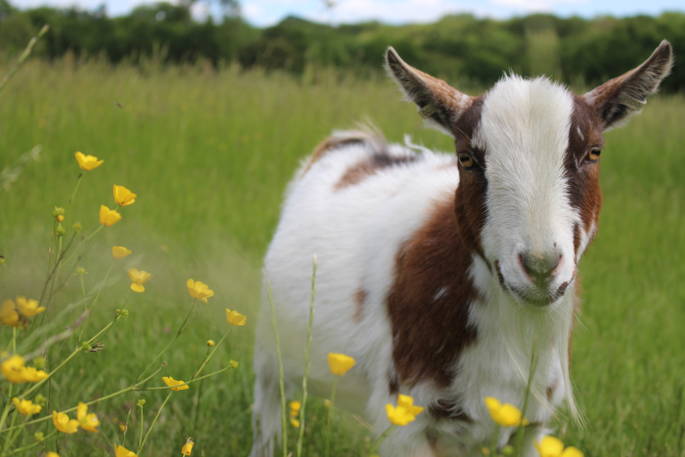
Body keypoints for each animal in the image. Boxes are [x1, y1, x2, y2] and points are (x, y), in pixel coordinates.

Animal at [250, 41, 673, 457]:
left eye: (594, 153)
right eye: (467, 158)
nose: (540, 266)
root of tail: (353, 141)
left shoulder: (533, 424)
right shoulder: (405, 417)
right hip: (270, 348)